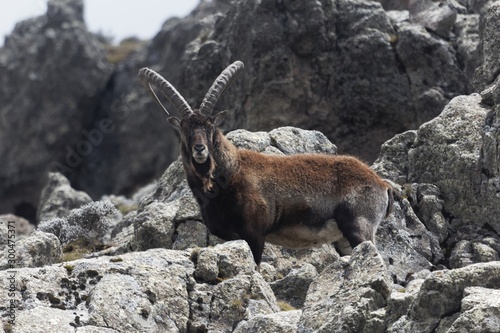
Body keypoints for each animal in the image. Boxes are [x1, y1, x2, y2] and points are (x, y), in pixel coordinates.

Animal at [139, 60, 392, 264]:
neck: (230, 174)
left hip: (359, 226)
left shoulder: (254, 235)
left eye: (211, 126)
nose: (200, 150)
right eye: (184, 129)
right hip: (343, 240)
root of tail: (381, 184)